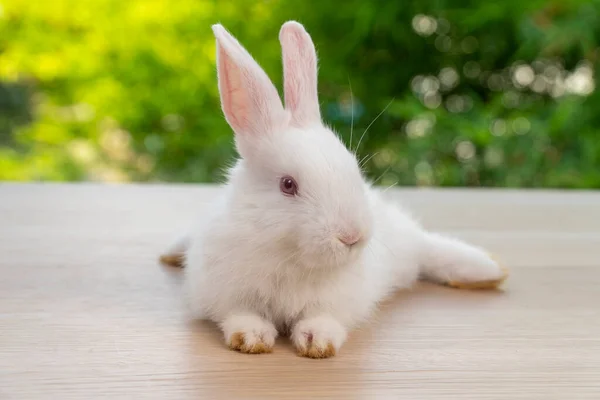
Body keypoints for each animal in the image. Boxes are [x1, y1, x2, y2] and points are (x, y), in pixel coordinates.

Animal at [159, 20, 506, 360]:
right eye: (288, 185)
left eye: (353, 168)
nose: (352, 237)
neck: (287, 256)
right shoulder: (227, 293)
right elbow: (240, 315)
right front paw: (251, 338)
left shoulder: (337, 302)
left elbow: (324, 319)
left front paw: (317, 342)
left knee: (428, 249)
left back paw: (489, 271)